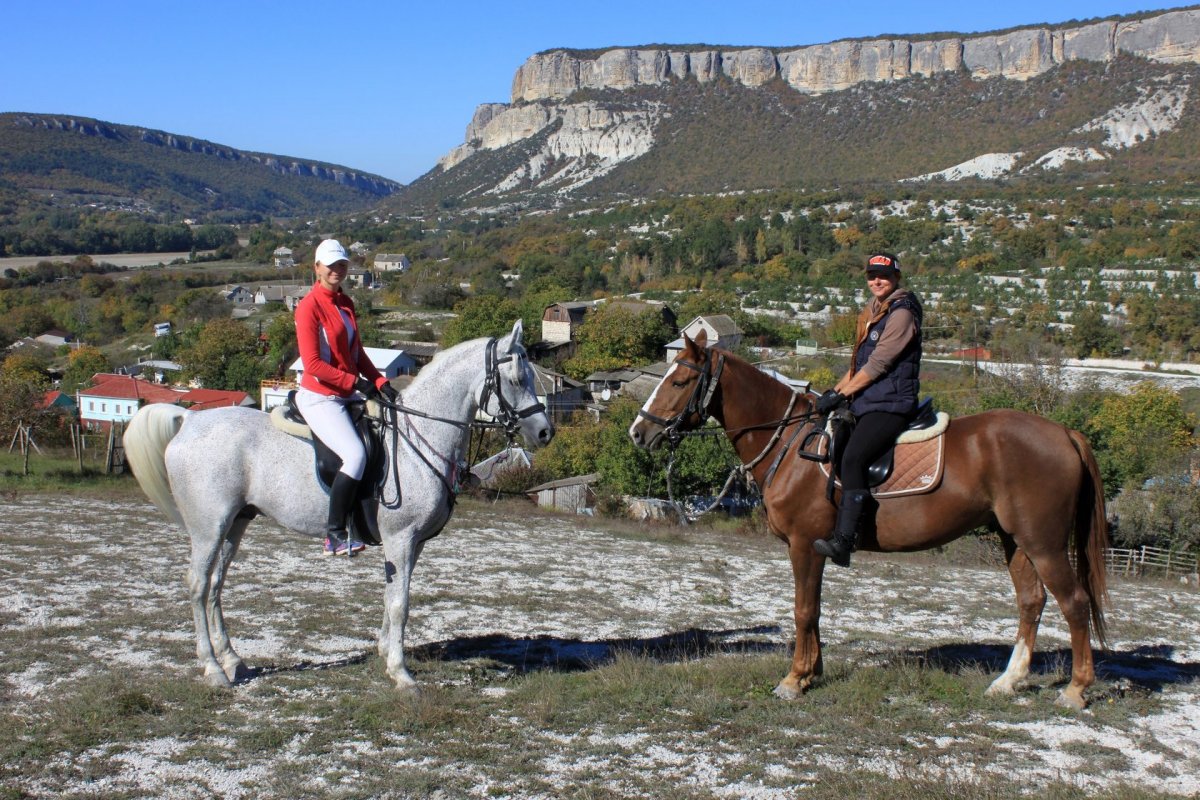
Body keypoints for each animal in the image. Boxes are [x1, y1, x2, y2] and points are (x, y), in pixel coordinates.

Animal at [124, 321, 549, 690]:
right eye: (516, 379)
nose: (545, 432)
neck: (418, 438)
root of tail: (189, 420)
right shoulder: (400, 538)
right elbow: (400, 604)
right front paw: (401, 674)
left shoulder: (412, 544)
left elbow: (392, 597)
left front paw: (385, 654)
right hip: (208, 527)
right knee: (198, 585)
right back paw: (213, 668)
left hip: (235, 524)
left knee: (214, 586)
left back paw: (232, 660)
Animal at [633, 333, 1108, 714]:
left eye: (678, 382)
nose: (638, 432)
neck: (790, 443)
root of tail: (1064, 433)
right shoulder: (811, 549)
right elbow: (815, 610)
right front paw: (812, 672)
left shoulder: (804, 544)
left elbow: (803, 610)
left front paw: (793, 680)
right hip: (1016, 540)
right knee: (1032, 601)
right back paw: (1009, 681)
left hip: (1043, 542)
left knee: (1074, 602)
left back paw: (1076, 689)